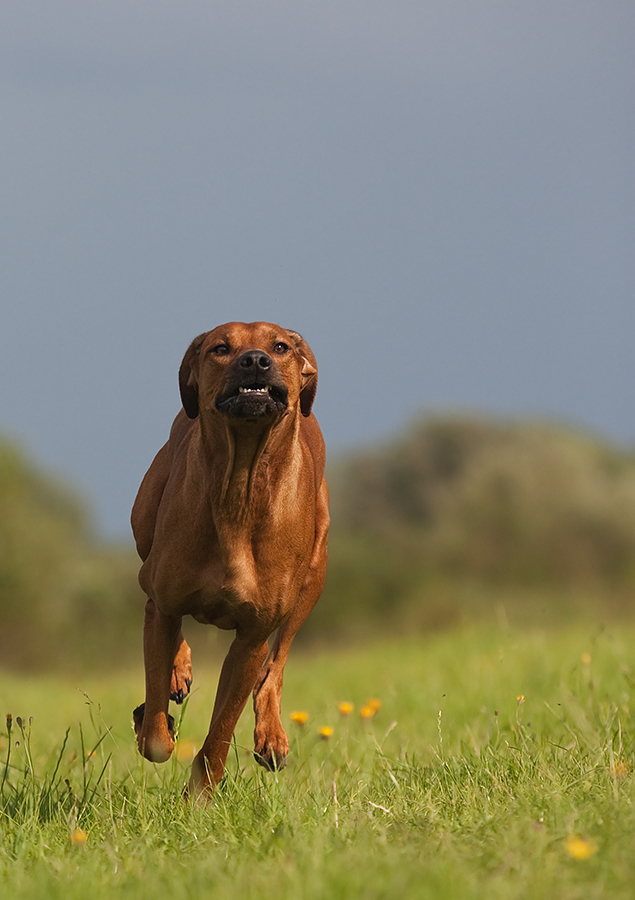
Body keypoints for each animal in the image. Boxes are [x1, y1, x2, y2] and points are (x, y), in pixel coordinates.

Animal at [129, 320, 328, 792]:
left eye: (280, 346)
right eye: (221, 348)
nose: (255, 360)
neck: (240, 486)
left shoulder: (251, 639)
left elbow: (220, 731)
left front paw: (200, 795)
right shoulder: (165, 602)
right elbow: (157, 740)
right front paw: (155, 715)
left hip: (314, 575)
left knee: (276, 664)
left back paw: (272, 736)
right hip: (144, 531)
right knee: (150, 595)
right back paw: (174, 675)